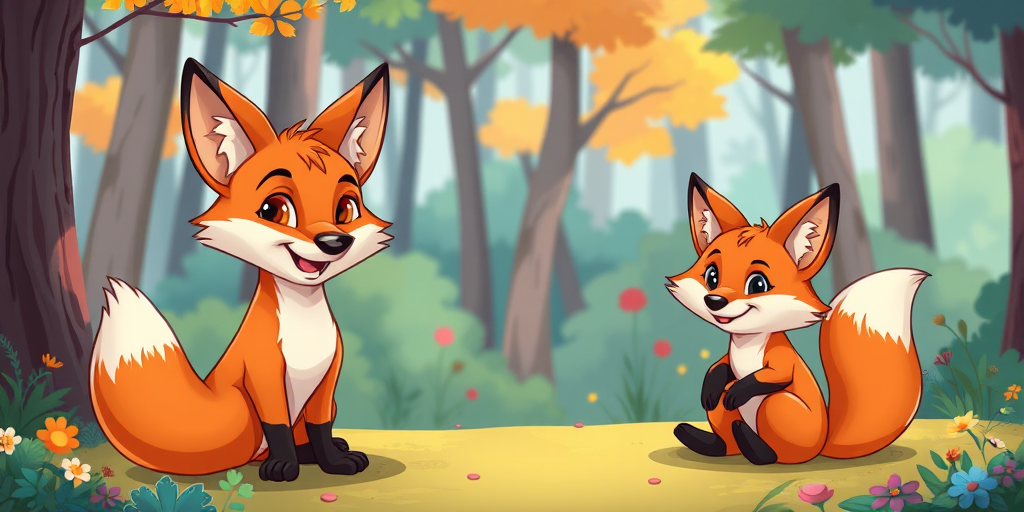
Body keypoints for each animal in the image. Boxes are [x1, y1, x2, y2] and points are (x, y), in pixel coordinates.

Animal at [88, 58, 393, 482]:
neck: (304, 326)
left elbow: (320, 427)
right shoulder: (263, 376)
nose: (334, 242)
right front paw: (284, 467)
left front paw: (333, 461)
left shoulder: (327, 381)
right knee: (255, 446)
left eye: (346, 209)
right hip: (241, 412)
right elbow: (278, 426)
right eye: (274, 210)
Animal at [666, 173, 926, 465]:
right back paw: (703, 440)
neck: (747, 345)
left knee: (773, 453)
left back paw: (752, 444)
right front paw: (709, 386)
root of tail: (823, 445)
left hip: (777, 406)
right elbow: (719, 368)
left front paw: (740, 390)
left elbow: (766, 377)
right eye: (711, 276)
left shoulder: (781, 361)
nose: (715, 301)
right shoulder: (729, 359)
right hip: (728, 418)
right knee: (725, 436)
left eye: (757, 284)